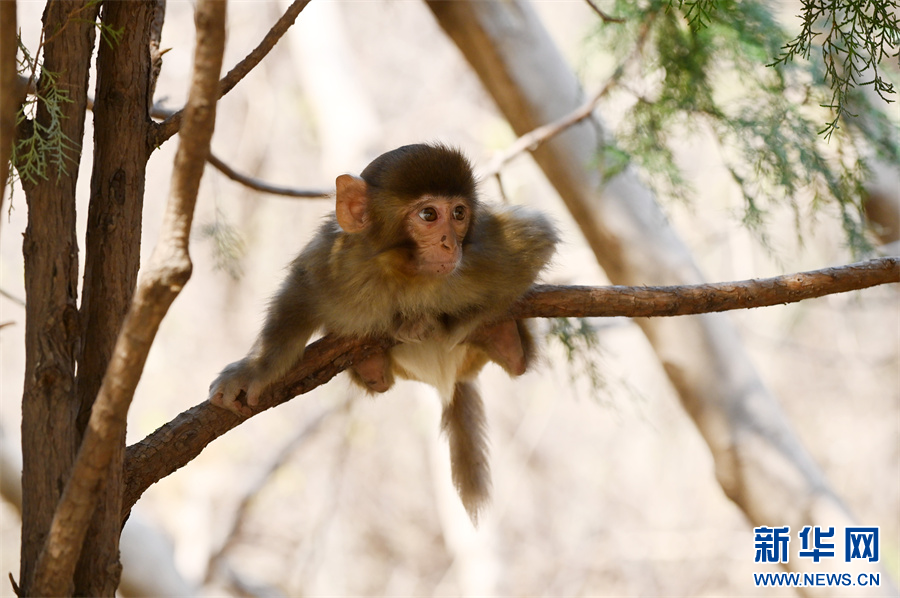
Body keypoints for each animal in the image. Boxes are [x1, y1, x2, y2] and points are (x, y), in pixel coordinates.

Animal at [210, 143, 556, 524]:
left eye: (459, 213)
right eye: (429, 214)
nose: (450, 245)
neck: (407, 272)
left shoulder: (485, 247)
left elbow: (538, 238)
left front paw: (441, 325)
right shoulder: (337, 259)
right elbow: (300, 292)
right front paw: (254, 369)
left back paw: (505, 340)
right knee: (377, 378)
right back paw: (372, 365)